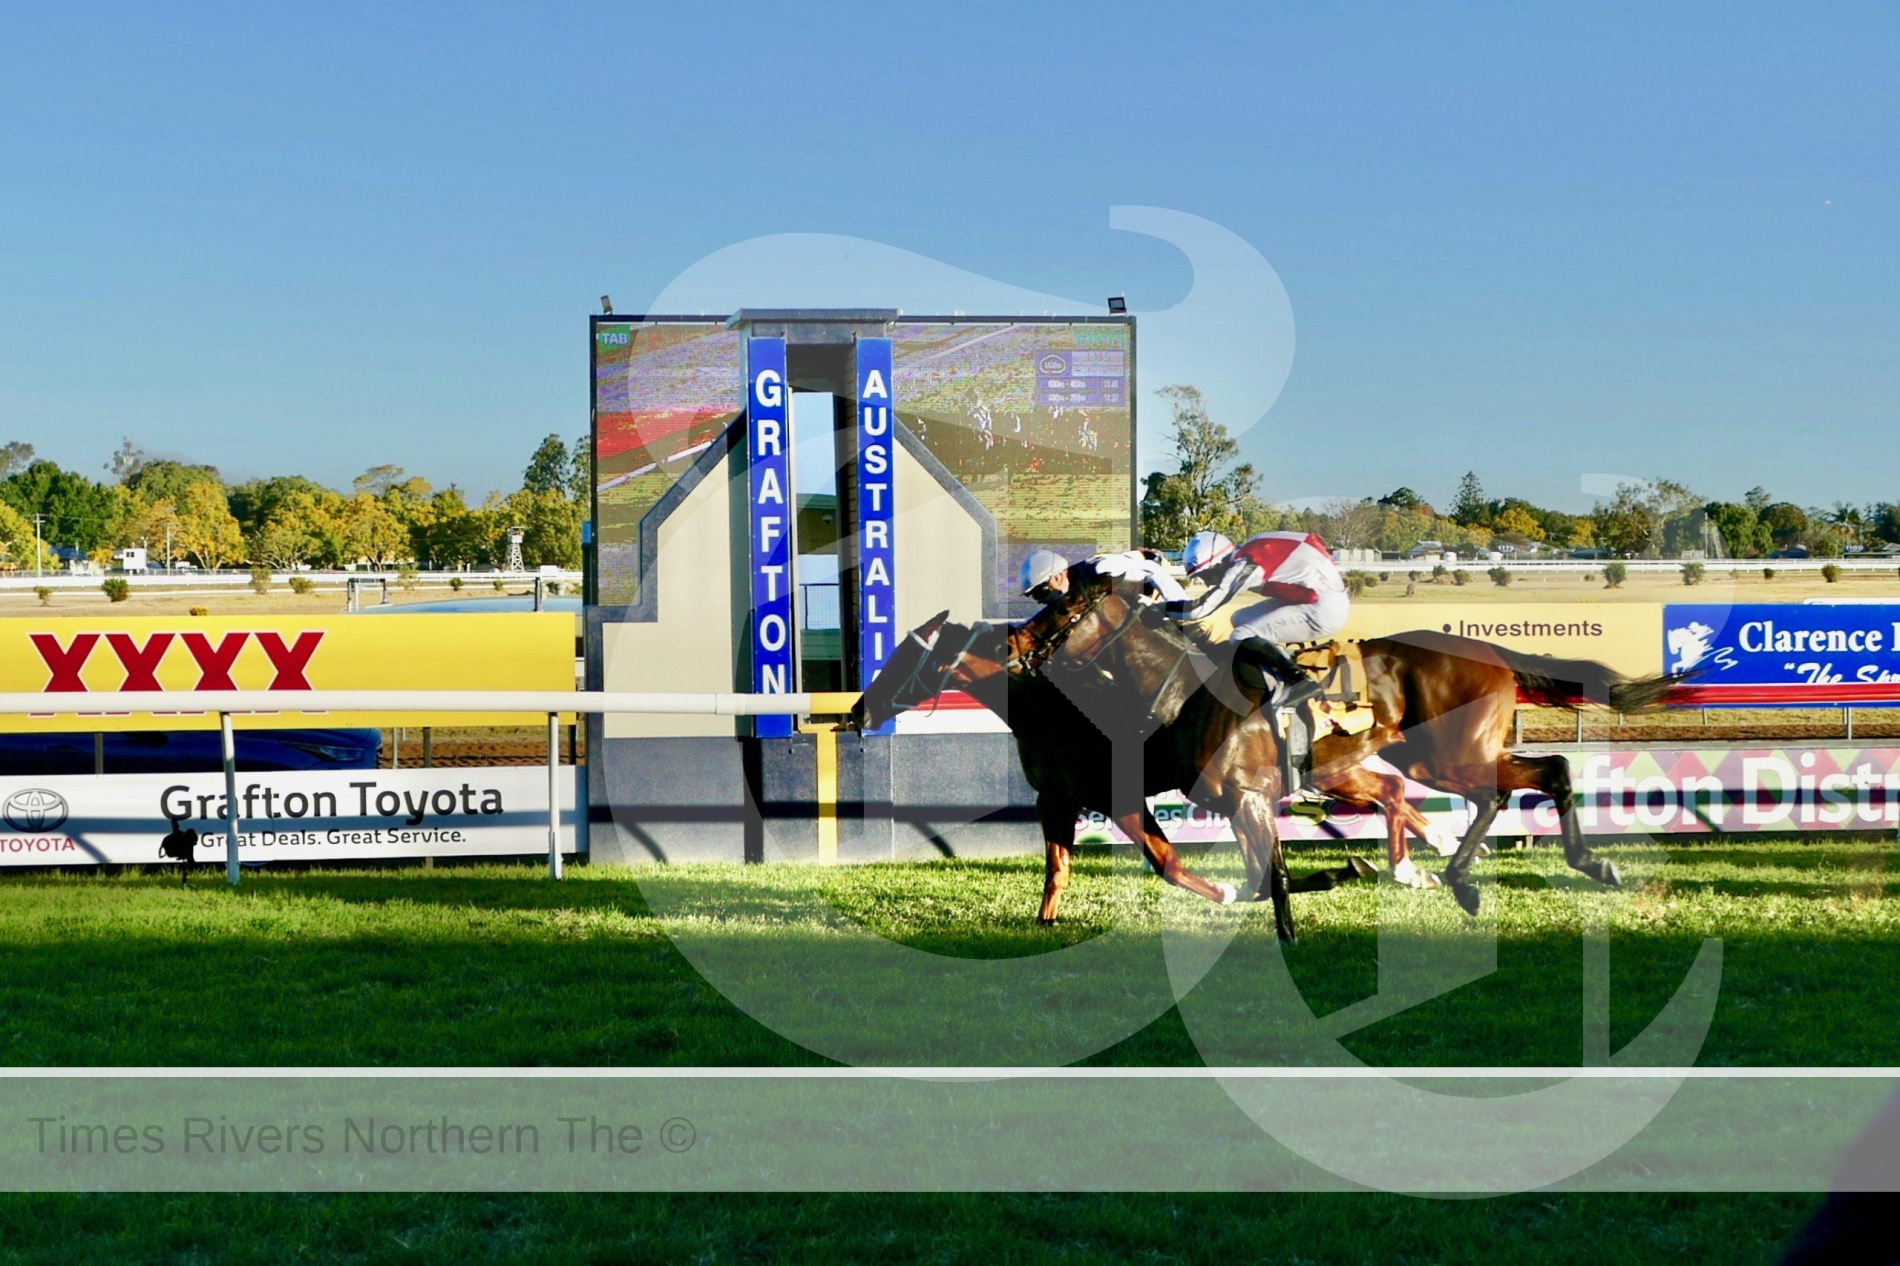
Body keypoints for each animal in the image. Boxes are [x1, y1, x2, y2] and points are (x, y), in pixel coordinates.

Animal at [855, 608, 1375, 942]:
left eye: (903, 659)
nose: (861, 710)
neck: (1052, 709)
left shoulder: (1118, 797)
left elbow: (1171, 866)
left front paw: (1233, 892)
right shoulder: (1056, 798)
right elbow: (1057, 870)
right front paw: (1045, 923)